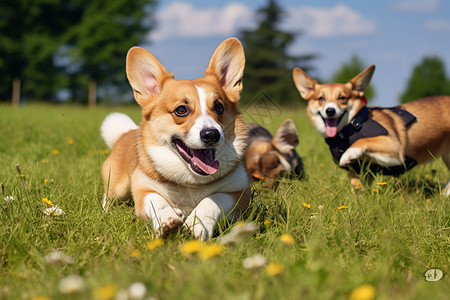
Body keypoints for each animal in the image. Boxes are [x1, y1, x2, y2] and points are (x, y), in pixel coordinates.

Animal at [292, 64, 450, 195]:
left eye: (342, 97)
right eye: (321, 98)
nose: (330, 110)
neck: (351, 125)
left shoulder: (394, 148)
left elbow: (363, 141)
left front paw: (348, 153)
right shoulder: (357, 171)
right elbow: (357, 188)